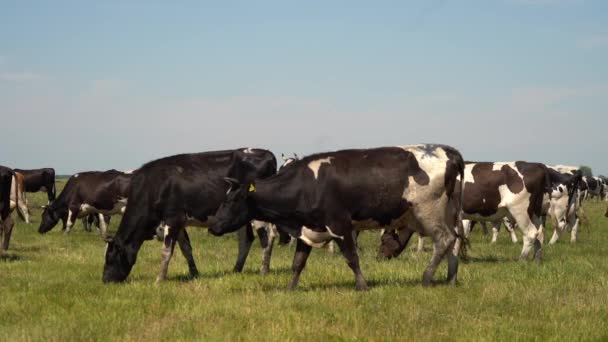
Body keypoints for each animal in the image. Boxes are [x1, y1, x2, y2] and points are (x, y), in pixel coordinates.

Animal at [102, 148, 278, 284]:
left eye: (110, 258)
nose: (105, 280)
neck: (154, 186)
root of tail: (267, 153)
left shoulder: (173, 218)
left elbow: (166, 251)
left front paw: (159, 279)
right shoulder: (179, 222)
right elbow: (186, 249)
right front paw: (194, 273)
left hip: (257, 215)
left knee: (266, 238)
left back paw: (263, 270)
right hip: (240, 216)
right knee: (246, 239)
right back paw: (236, 269)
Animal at [207, 144, 464, 292]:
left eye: (231, 201)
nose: (213, 226)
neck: (308, 185)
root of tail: (448, 151)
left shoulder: (340, 225)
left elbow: (352, 258)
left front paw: (362, 286)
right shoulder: (306, 229)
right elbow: (297, 263)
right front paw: (290, 289)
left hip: (428, 212)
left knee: (443, 240)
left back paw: (427, 278)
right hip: (450, 211)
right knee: (454, 240)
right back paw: (451, 279)